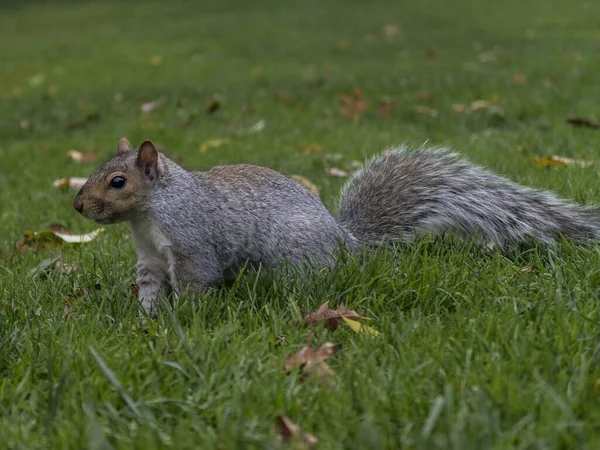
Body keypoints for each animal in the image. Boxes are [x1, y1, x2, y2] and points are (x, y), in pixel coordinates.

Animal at [71, 139, 600, 314]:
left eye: (118, 181)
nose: (77, 206)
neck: (149, 216)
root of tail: (346, 241)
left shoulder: (192, 245)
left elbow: (197, 282)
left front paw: (185, 319)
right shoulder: (150, 258)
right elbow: (149, 288)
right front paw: (147, 318)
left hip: (292, 255)